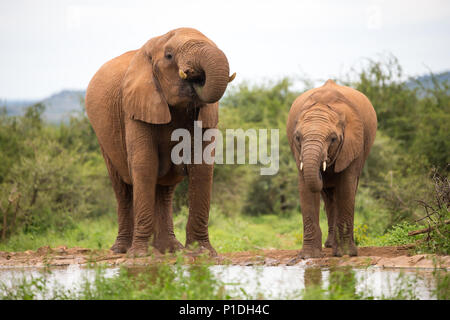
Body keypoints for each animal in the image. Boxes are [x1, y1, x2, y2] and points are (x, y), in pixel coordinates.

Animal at [83, 28, 236, 258]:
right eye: (169, 55)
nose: (196, 77)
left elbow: (201, 168)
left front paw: (203, 253)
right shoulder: (135, 107)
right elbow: (145, 165)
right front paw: (139, 255)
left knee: (164, 190)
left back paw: (170, 249)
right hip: (103, 137)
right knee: (122, 189)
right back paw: (122, 250)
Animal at [286, 79, 378, 258]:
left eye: (333, 139)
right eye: (298, 138)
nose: (322, 172)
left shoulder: (353, 145)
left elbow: (346, 187)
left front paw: (345, 254)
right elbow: (306, 189)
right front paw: (309, 255)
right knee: (328, 198)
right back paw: (329, 245)